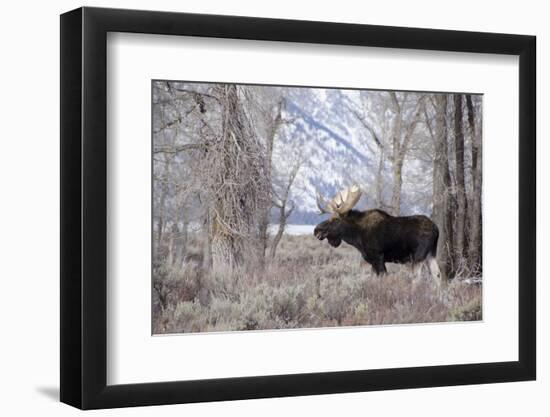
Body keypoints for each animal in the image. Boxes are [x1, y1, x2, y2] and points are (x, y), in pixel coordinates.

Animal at [314, 184, 444, 286]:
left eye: (336, 220)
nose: (316, 230)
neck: (356, 237)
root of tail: (437, 230)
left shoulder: (378, 257)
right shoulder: (371, 260)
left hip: (418, 256)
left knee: (417, 279)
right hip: (431, 254)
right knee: (437, 275)